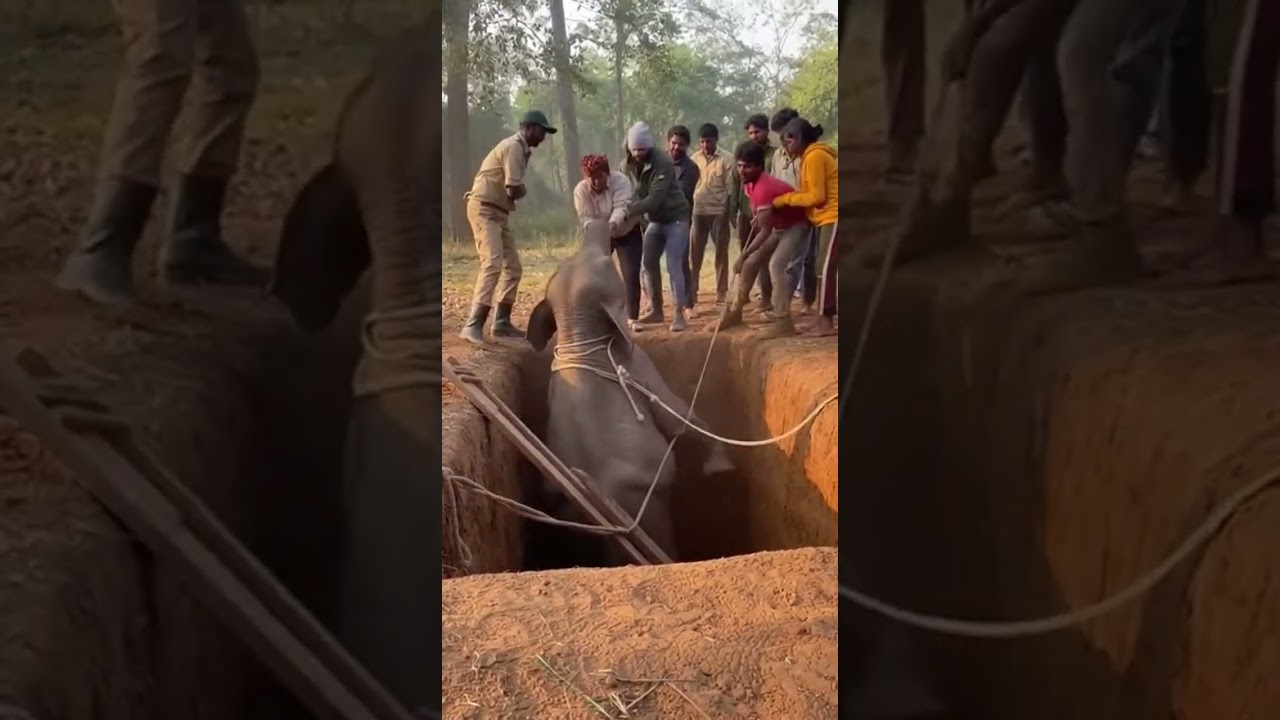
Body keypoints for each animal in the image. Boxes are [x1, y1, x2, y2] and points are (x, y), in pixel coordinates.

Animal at [526, 219, 733, 564]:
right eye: (607, 264)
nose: (594, 223)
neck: (577, 336)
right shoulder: (638, 364)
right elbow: (674, 414)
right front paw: (721, 468)